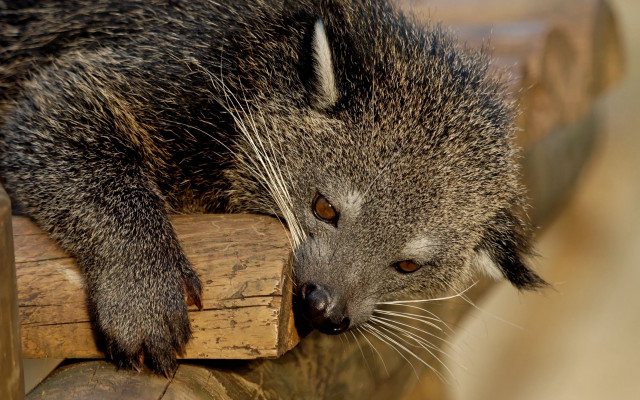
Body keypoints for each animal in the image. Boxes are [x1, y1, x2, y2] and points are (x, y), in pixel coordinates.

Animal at [0, 0, 546, 374]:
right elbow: (58, 110)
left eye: (408, 265)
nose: (327, 310)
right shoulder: (171, 64)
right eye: (324, 209)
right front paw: (143, 289)